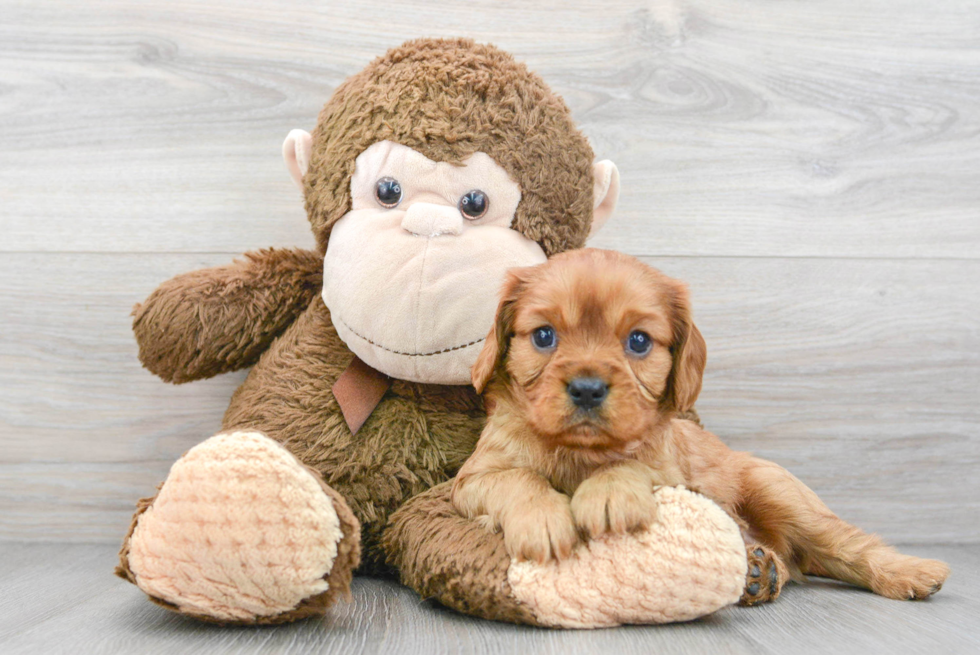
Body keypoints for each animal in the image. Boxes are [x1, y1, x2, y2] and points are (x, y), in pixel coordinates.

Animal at [452, 250, 948, 604]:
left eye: (638, 341)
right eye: (543, 336)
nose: (588, 389)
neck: (580, 452)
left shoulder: (675, 474)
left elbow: (636, 466)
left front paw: (609, 493)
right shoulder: (471, 479)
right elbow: (517, 479)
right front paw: (542, 519)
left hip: (779, 491)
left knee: (846, 544)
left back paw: (910, 571)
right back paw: (759, 569)